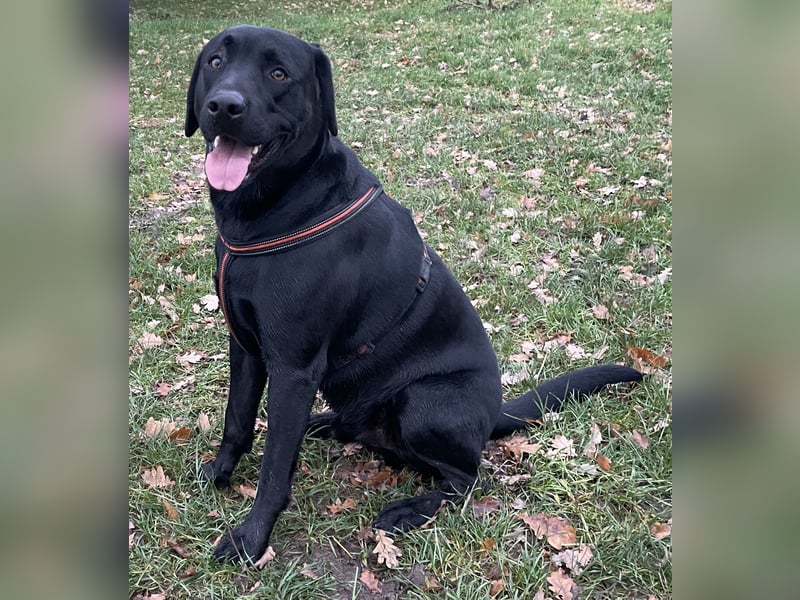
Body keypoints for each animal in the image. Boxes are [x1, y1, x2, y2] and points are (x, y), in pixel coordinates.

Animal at [184, 27, 640, 564]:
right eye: (215, 62)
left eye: (279, 73)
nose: (223, 105)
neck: (268, 214)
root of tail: (494, 414)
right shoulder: (246, 346)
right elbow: (236, 420)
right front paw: (218, 475)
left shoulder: (294, 368)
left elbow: (275, 469)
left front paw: (250, 539)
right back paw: (326, 424)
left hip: (424, 401)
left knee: (467, 479)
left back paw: (409, 510)